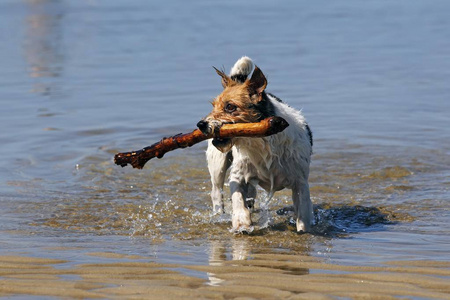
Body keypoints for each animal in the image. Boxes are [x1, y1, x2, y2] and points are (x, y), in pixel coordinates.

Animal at [197, 57, 312, 233]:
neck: (261, 143)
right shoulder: (237, 176)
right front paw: (241, 222)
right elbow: (237, 199)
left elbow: (303, 214)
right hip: (217, 164)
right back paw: (219, 214)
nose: (201, 125)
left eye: (230, 106)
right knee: (216, 192)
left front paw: (302, 230)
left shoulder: (300, 182)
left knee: (250, 193)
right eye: (213, 105)